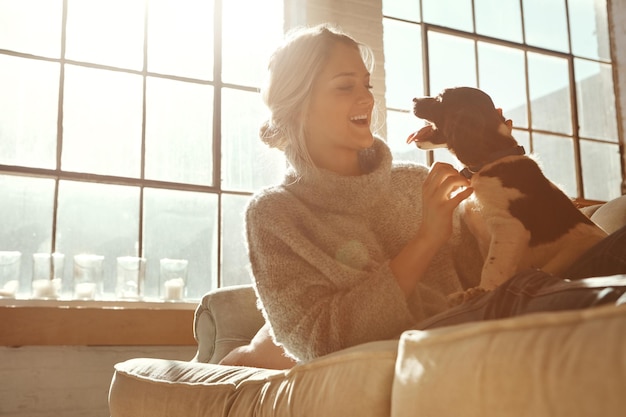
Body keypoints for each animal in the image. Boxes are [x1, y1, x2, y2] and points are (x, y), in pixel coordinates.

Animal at [404, 86, 604, 298]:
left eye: (440, 98)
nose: (413, 98)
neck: (489, 161)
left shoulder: (509, 227)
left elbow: (493, 266)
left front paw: (483, 291)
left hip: (571, 252)